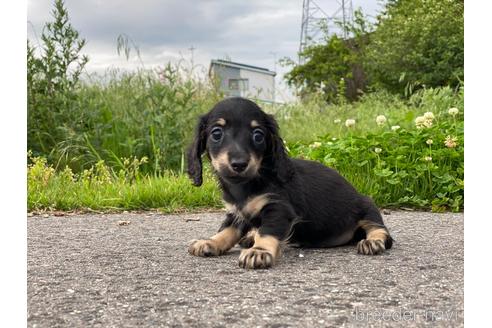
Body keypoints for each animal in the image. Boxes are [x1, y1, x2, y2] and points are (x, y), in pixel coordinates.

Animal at [186, 96, 394, 270]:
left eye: (258, 135)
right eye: (216, 133)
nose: (239, 164)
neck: (245, 186)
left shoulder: (278, 208)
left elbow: (267, 231)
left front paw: (259, 251)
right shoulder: (236, 213)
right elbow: (227, 231)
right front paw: (211, 242)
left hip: (368, 207)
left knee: (380, 230)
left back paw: (373, 242)